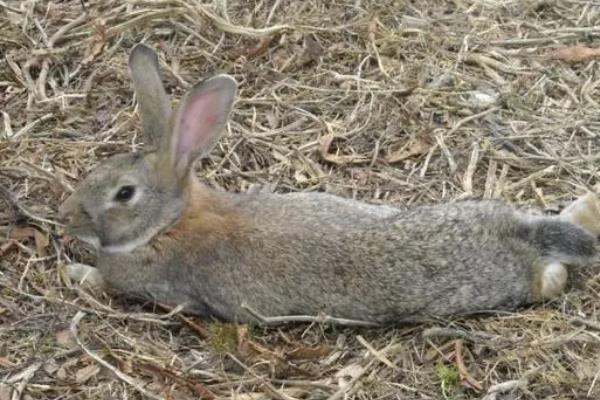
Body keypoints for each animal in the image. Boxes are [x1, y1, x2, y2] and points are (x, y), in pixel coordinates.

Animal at [58, 43, 600, 324]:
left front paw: (77, 275)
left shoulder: (157, 289)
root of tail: (516, 236)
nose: (67, 217)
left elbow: (107, 284)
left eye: (123, 193)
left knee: (547, 282)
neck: (169, 223)